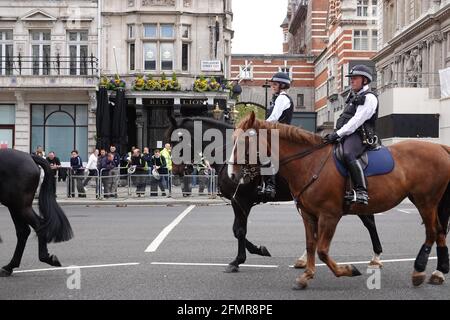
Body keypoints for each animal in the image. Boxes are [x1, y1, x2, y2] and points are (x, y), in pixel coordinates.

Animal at [167, 117, 384, 272]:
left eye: (177, 140)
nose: (176, 172)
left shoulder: (240, 201)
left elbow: (239, 230)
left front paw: (239, 260)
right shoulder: (239, 202)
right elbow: (238, 230)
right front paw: (257, 250)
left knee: (368, 221)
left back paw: (376, 257)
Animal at [230, 113, 450, 290]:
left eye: (242, 142)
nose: (232, 174)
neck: (309, 163)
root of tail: (440, 147)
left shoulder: (329, 216)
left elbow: (322, 250)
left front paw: (347, 270)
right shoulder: (308, 214)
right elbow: (311, 245)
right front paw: (306, 275)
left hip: (426, 201)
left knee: (431, 231)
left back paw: (419, 270)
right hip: (428, 202)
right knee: (439, 231)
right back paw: (438, 272)